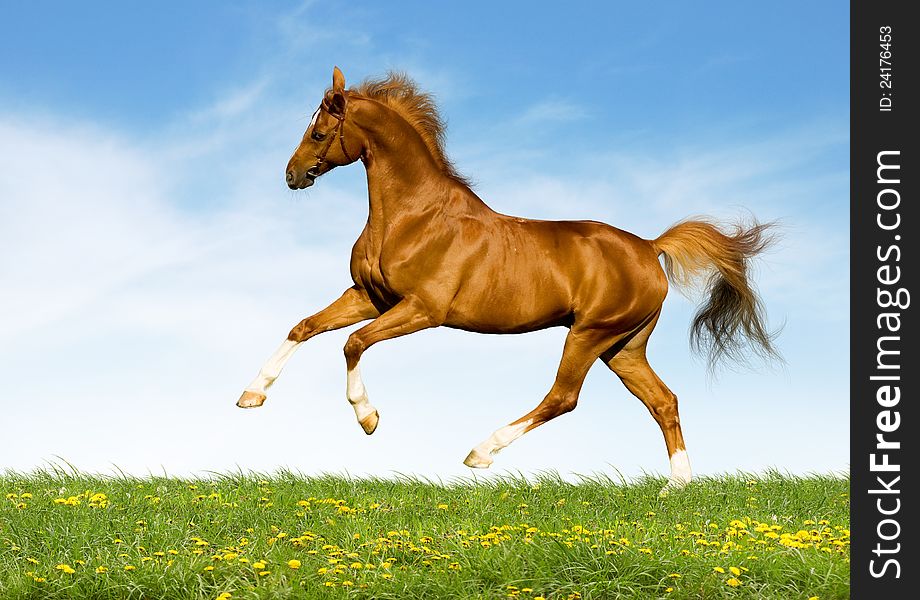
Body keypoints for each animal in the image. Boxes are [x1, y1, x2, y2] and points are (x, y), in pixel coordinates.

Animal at [237, 65, 776, 490]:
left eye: (319, 133)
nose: (292, 175)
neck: (413, 216)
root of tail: (649, 246)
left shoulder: (422, 310)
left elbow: (351, 344)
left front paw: (368, 418)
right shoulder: (370, 296)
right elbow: (304, 326)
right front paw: (251, 396)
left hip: (590, 334)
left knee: (563, 397)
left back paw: (481, 452)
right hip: (624, 346)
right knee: (664, 401)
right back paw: (677, 485)